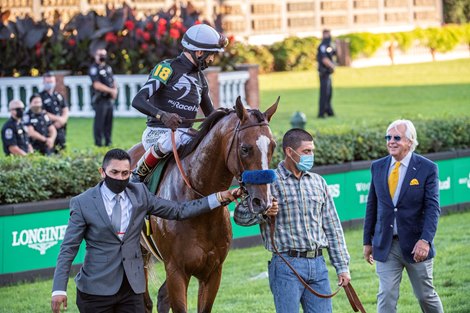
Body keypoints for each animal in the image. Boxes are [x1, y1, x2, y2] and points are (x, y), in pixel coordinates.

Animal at [129, 96, 280, 310]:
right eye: (245, 148)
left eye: (273, 146)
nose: (263, 201)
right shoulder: (176, 271)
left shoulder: (213, 271)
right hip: (140, 253)